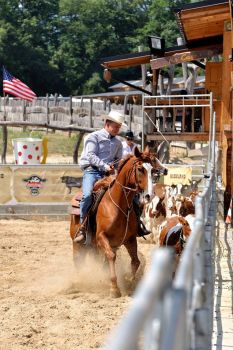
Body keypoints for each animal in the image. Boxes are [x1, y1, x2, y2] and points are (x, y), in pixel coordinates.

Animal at [69, 146, 153, 296]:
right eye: (140, 169)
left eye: (152, 169)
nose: (148, 196)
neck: (118, 205)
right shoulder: (101, 237)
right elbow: (111, 256)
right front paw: (114, 288)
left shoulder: (130, 239)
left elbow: (135, 261)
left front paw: (130, 283)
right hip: (78, 244)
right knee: (79, 261)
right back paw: (78, 283)